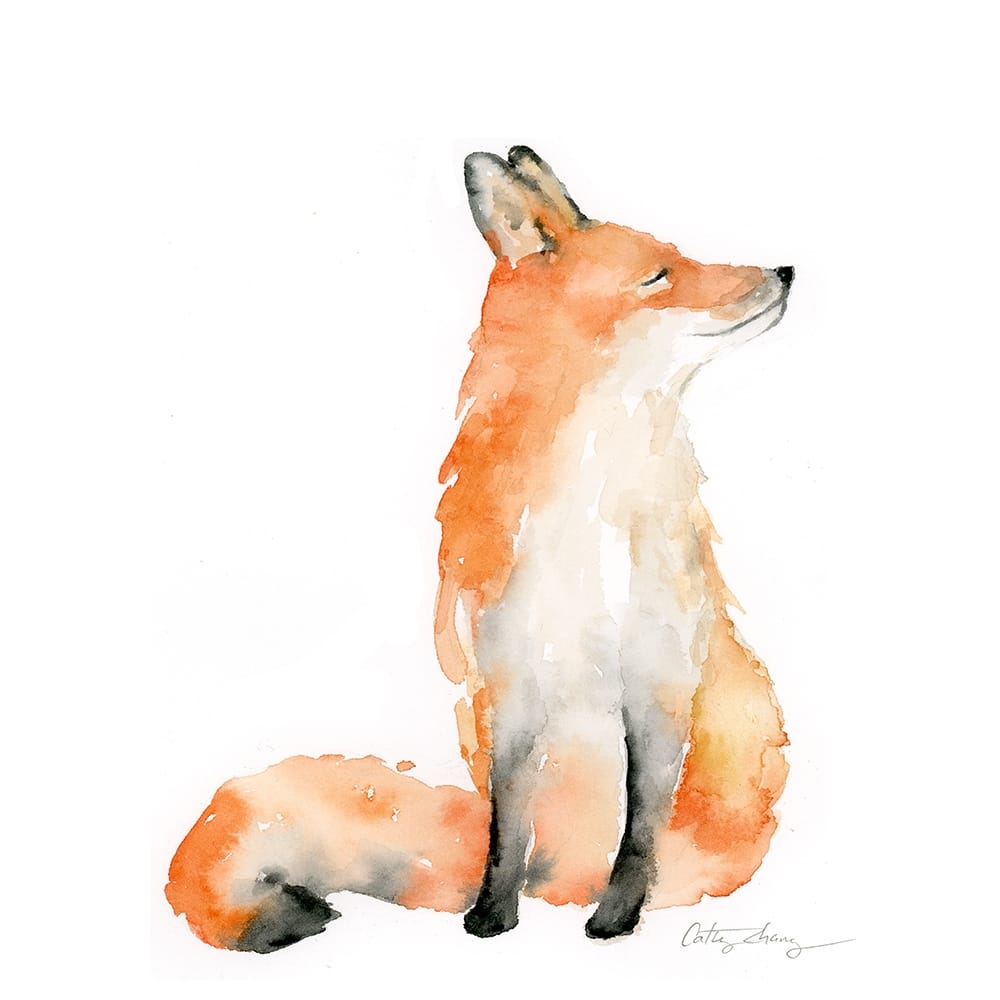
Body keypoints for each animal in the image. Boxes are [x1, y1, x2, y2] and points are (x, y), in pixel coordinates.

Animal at [166, 145, 793, 952]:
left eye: (682, 258)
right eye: (660, 275)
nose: (786, 272)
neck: (588, 526)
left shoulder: (658, 685)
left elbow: (639, 834)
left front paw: (615, 918)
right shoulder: (512, 686)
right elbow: (505, 830)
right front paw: (492, 915)